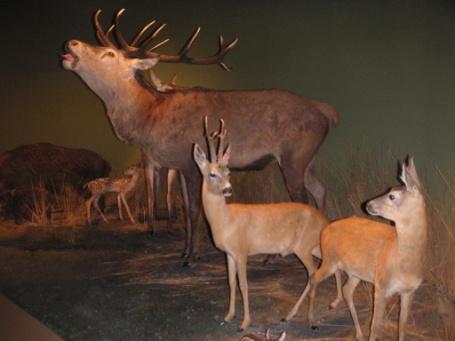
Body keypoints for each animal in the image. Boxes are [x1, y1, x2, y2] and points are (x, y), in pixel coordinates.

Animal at [193, 117, 342, 330]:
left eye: (228, 172)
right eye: (212, 174)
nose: (228, 190)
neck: (225, 220)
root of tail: (324, 220)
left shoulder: (242, 251)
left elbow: (243, 284)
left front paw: (245, 322)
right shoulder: (229, 253)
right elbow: (230, 282)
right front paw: (229, 315)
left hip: (304, 247)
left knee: (313, 274)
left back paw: (310, 319)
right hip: (313, 246)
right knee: (330, 265)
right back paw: (326, 304)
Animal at [284, 157, 430, 340]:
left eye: (392, 196)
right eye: (389, 189)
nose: (368, 204)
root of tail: (326, 228)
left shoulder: (409, 291)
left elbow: (402, 326)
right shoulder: (381, 285)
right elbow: (375, 327)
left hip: (355, 272)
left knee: (346, 290)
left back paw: (358, 333)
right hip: (330, 260)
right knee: (314, 277)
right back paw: (307, 319)